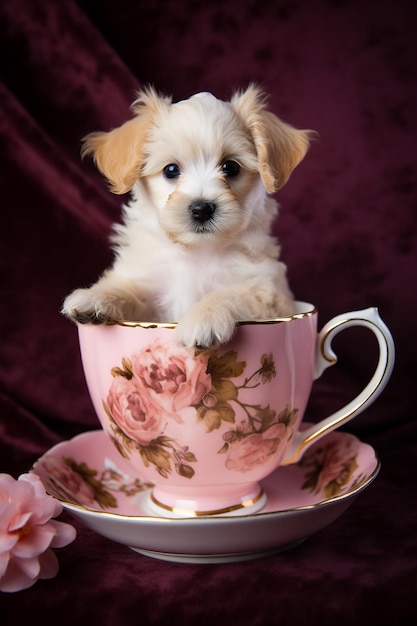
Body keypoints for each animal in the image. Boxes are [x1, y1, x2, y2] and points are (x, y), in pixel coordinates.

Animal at [61, 83, 314, 348]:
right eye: (171, 170)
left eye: (231, 167)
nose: (201, 209)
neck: (196, 252)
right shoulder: (150, 291)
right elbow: (130, 288)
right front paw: (96, 296)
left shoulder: (268, 292)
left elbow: (231, 293)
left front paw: (204, 317)